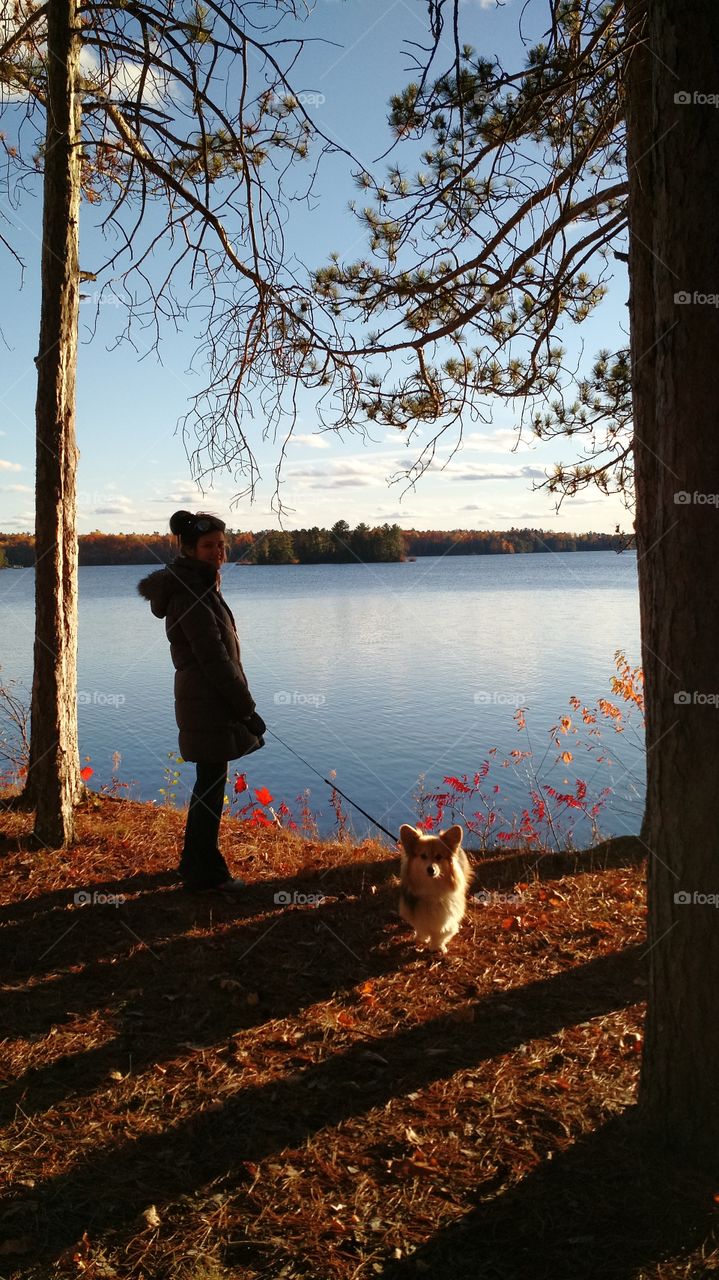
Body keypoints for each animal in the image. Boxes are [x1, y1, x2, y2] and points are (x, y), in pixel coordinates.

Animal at [396, 824, 470, 957]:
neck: (431, 887)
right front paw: (421, 938)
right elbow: (420, 928)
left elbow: (441, 933)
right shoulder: (416, 914)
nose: (431, 869)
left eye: (439, 857)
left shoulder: (448, 917)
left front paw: (437, 947)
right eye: (423, 856)